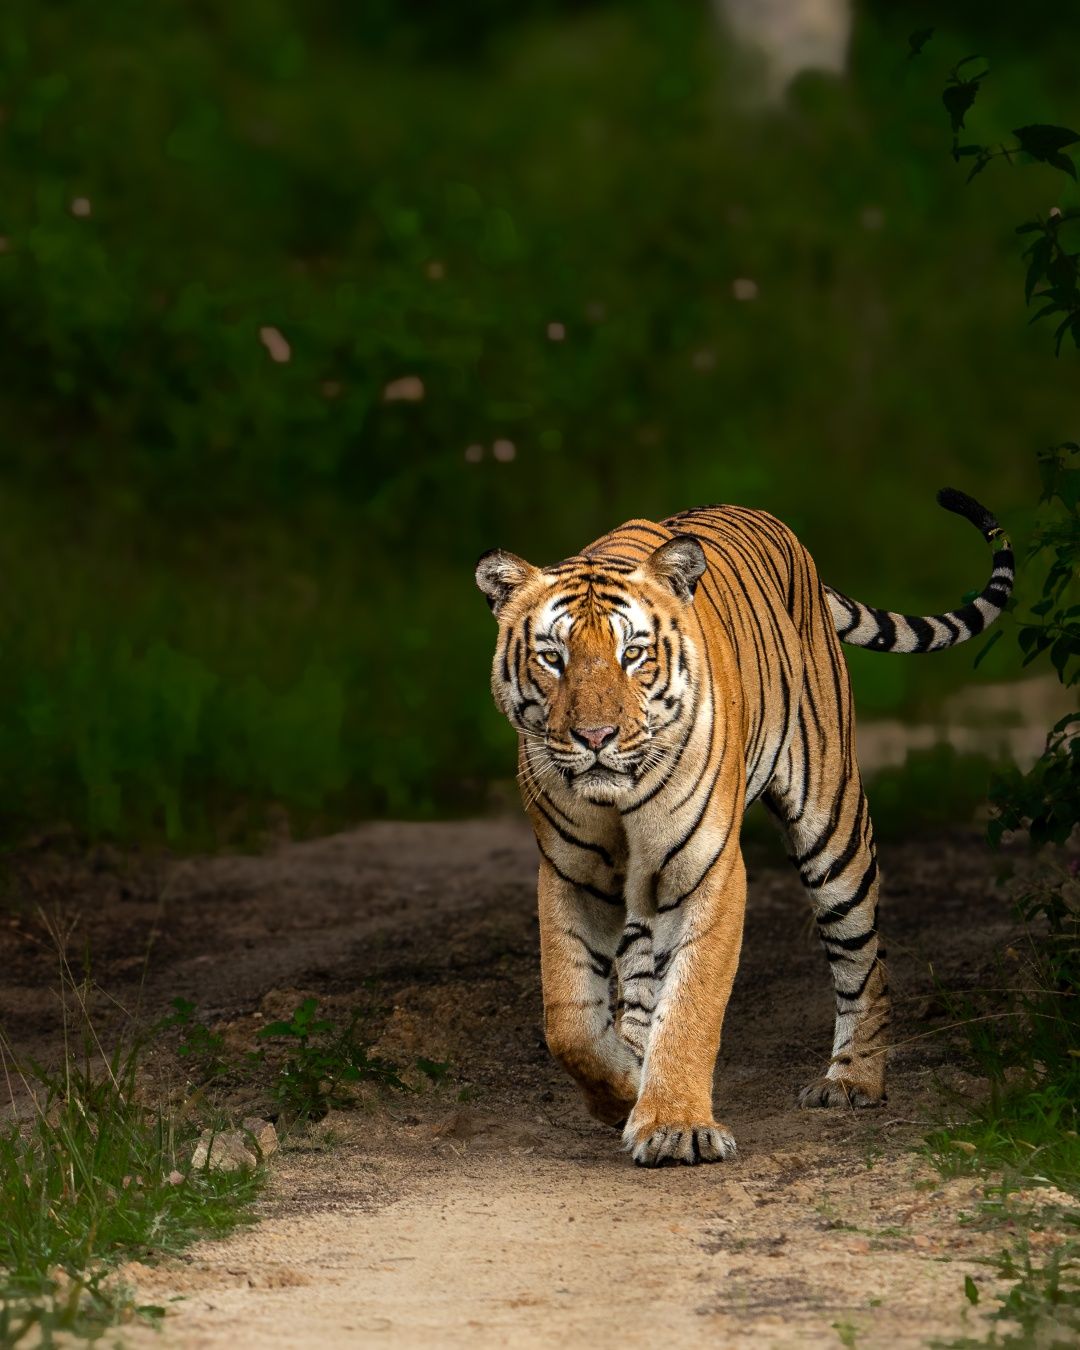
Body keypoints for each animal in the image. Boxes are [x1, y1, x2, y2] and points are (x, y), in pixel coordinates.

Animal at [475, 488, 1013, 1167]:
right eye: (553, 658)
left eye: (633, 654)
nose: (596, 738)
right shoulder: (570, 875)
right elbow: (570, 1021)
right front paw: (625, 1089)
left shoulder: (709, 869)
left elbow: (692, 1003)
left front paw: (674, 1126)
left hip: (834, 828)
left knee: (862, 960)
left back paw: (853, 1081)